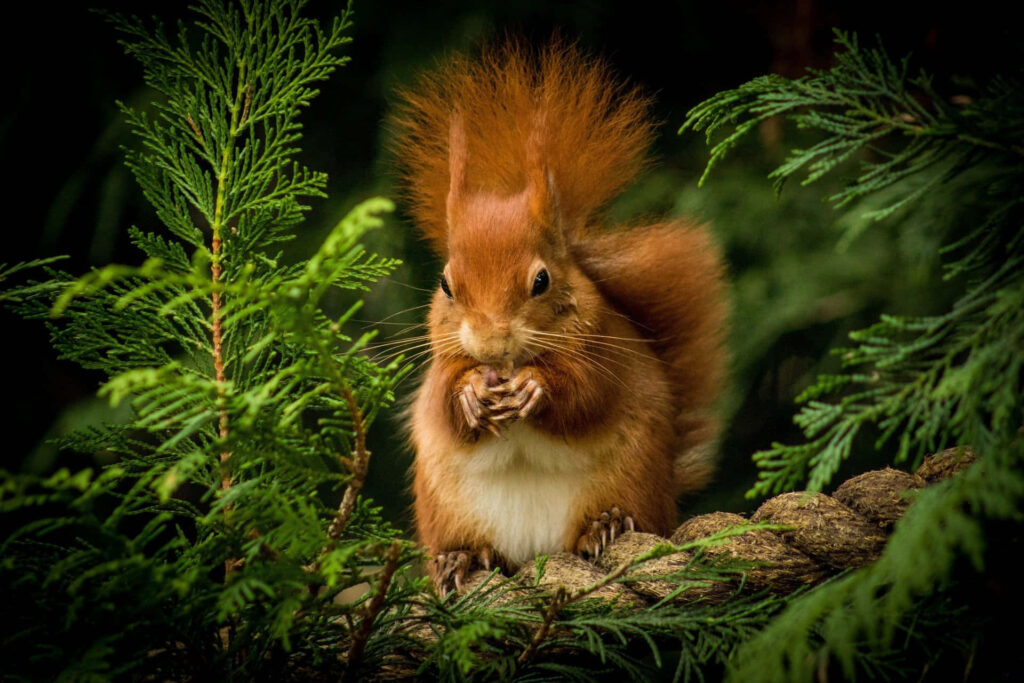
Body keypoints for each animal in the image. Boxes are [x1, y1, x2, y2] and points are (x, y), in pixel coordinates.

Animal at [390, 40, 727, 592]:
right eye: (446, 285)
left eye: (541, 281)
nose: (492, 345)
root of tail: (535, 550)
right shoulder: (443, 363)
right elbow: (442, 403)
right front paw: (471, 394)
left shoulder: (604, 349)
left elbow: (587, 394)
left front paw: (534, 388)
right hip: (444, 508)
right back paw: (459, 559)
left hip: (630, 479)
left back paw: (604, 526)